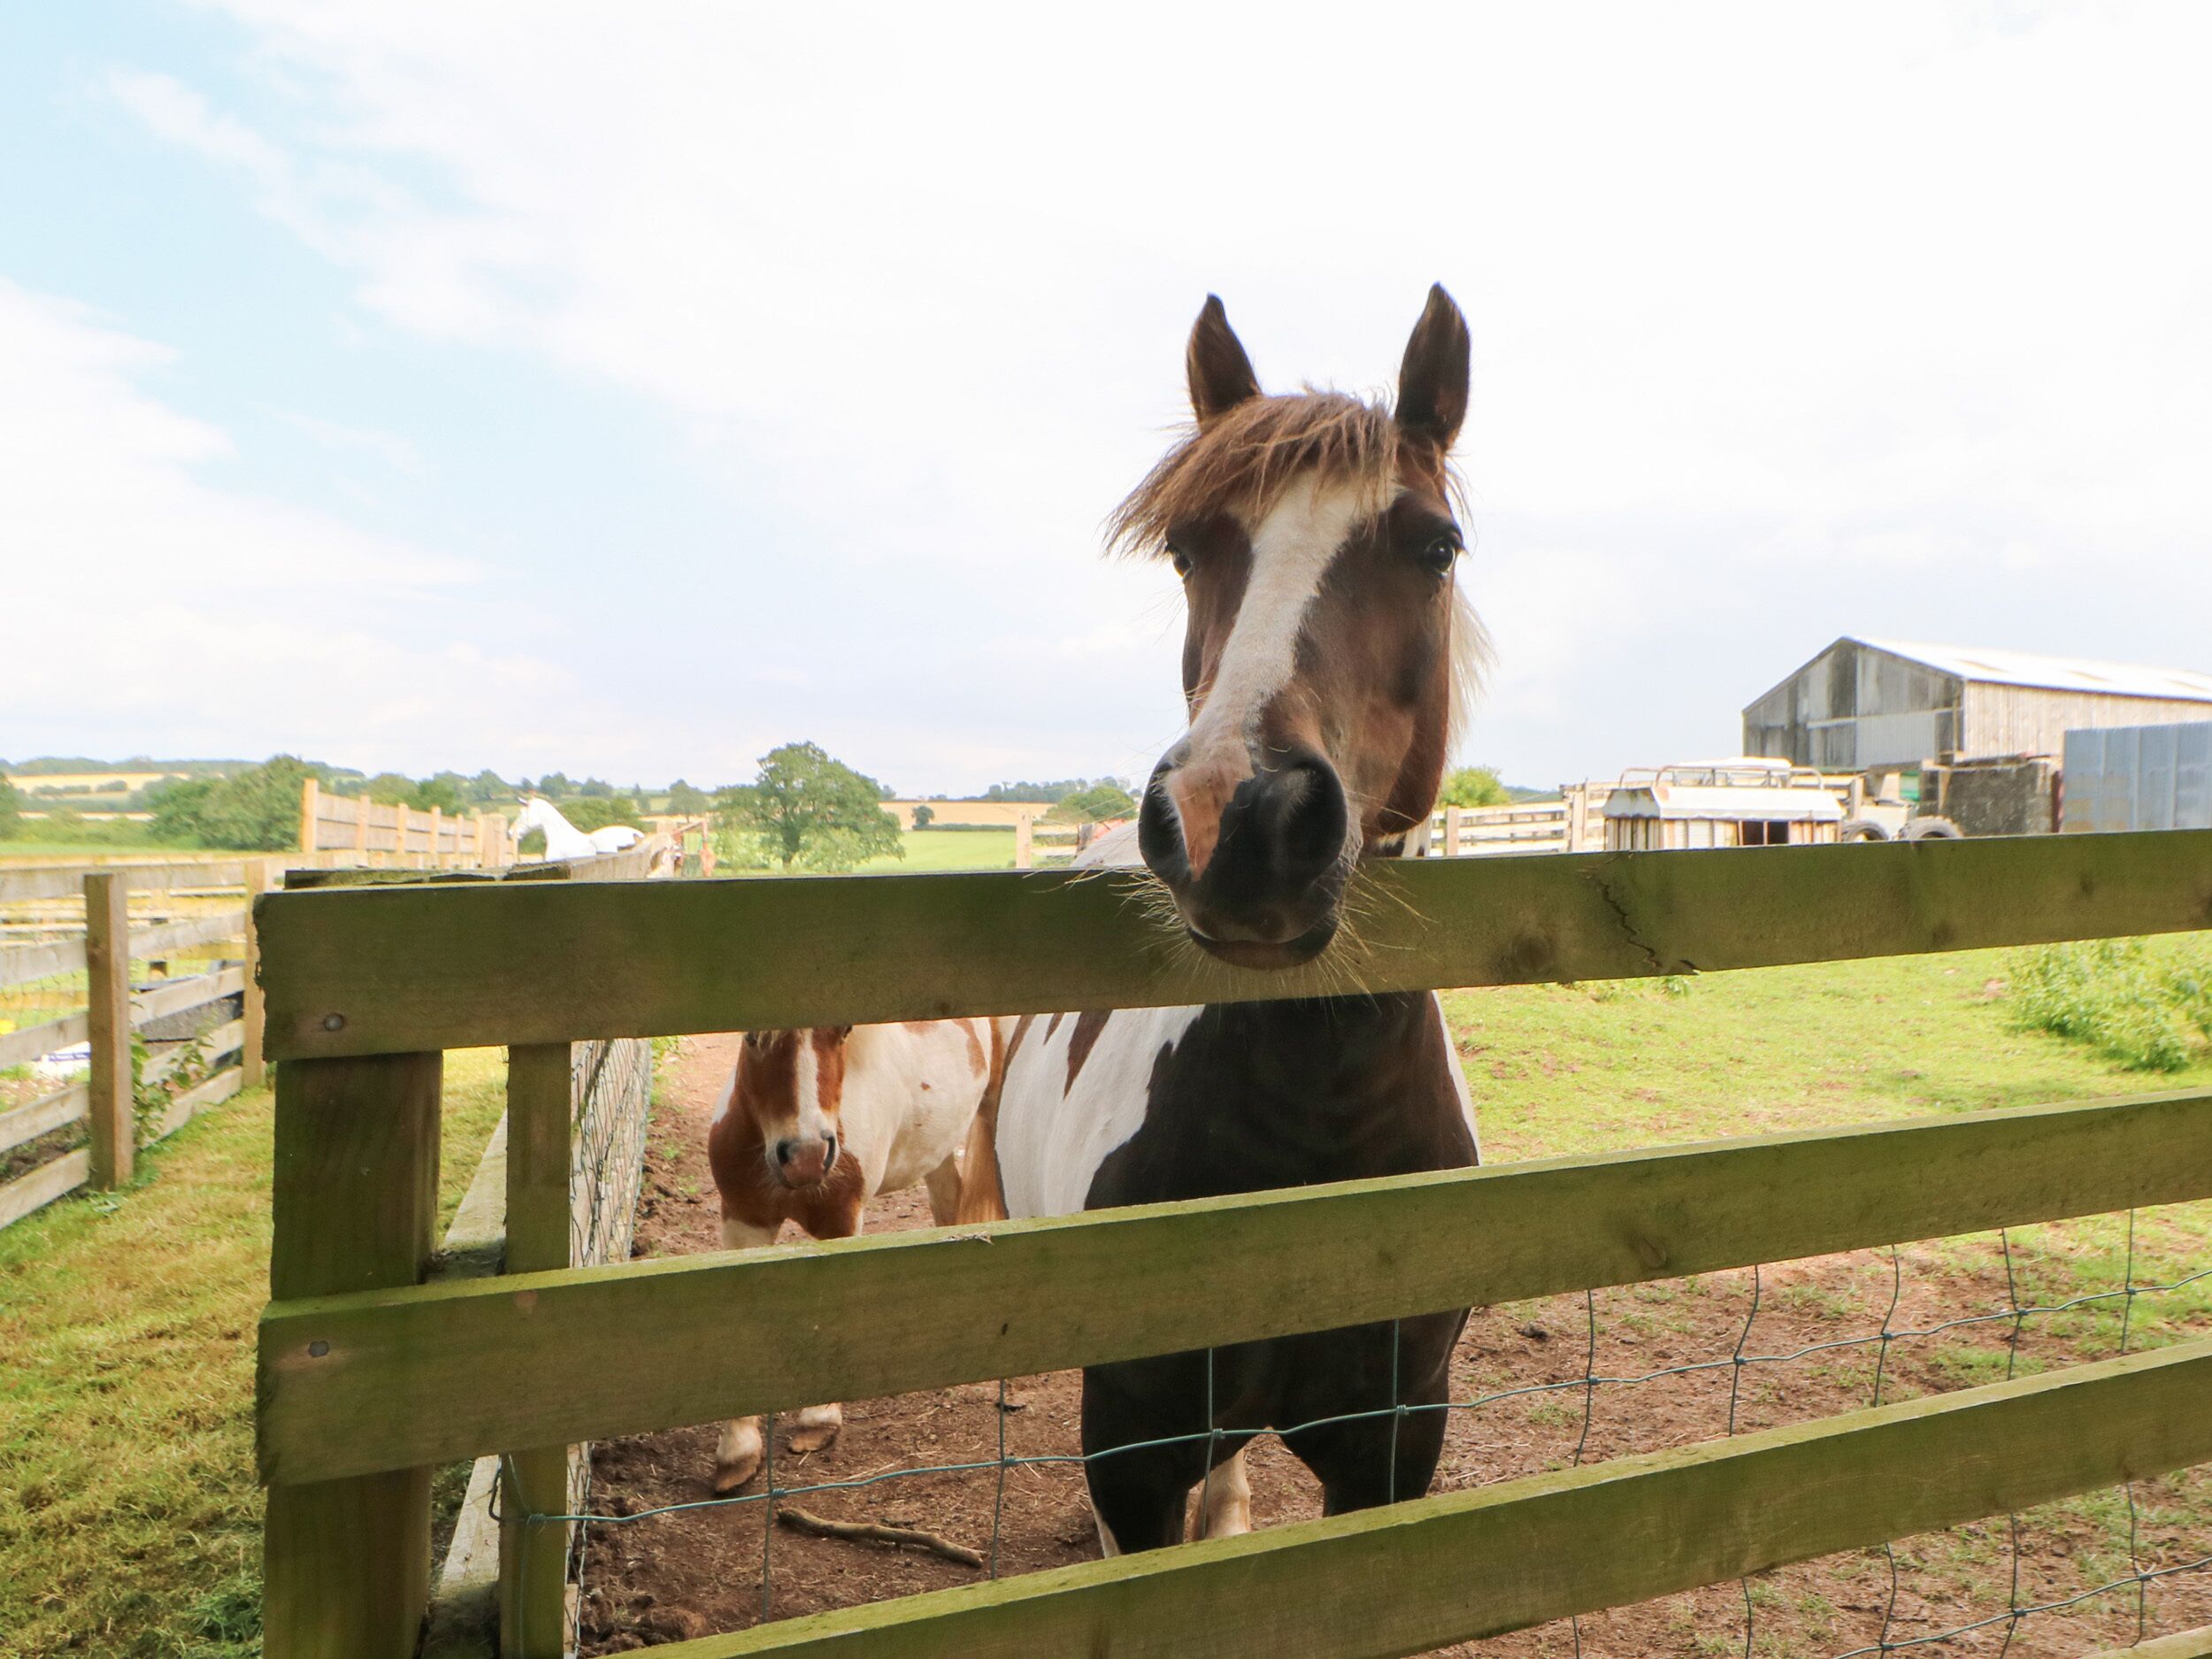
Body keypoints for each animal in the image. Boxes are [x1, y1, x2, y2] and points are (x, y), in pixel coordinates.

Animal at [705, 1019, 997, 1492]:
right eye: (750, 1035)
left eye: (844, 1031)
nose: (805, 1157)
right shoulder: (743, 1221)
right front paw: (737, 1452)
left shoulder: (839, 1222)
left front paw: (818, 1420)